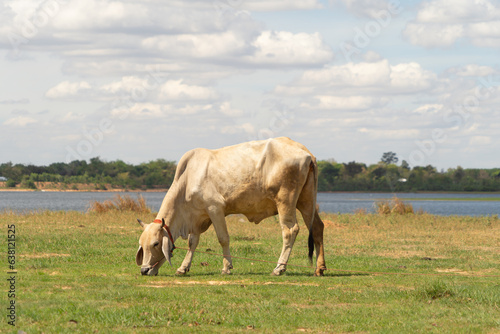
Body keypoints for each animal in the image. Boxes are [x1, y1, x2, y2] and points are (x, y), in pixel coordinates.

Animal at [135, 137, 326, 276]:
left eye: (156, 244)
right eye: (141, 244)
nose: (144, 270)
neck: (188, 179)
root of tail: (306, 152)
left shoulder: (215, 208)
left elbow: (223, 238)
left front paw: (227, 267)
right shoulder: (198, 216)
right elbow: (192, 242)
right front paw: (183, 268)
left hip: (285, 201)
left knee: (290, 231)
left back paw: (279, 268)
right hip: (306, 201)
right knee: (317, 227)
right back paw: (320, 268)